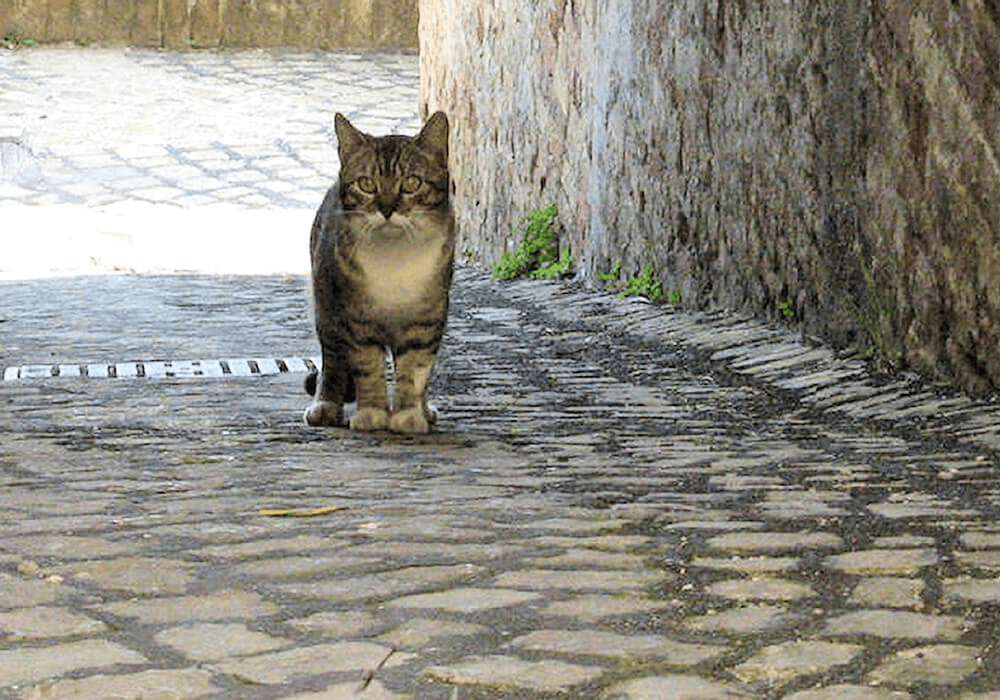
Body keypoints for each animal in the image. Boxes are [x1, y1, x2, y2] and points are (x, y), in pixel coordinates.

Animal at [298, 110, 452, 434]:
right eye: (367, 184)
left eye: (412, 183)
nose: (387, 208)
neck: (393, 258)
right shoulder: (357, 318)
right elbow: (367, 367)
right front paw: (372, 414)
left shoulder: (426, 320)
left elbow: (414, 369)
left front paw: (408, 414)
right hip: (327, 307)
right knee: (332, 361)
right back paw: (325, 405)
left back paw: (425, 408)